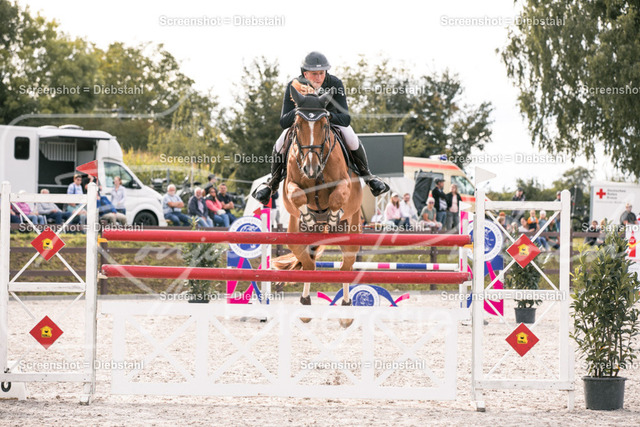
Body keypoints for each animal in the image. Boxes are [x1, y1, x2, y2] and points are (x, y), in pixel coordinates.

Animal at [272, 87, 363, 327]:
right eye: (297, 124)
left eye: (324, 124)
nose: (310, 168)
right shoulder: (289, 185)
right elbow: (297, 195)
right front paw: (310, 215)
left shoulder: (345, 184)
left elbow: (337, 197)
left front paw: (331, 216)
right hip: (295, 236)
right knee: (309, 265)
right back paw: (305, 306)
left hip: (352, 233)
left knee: (345, 268)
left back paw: (346, 312)